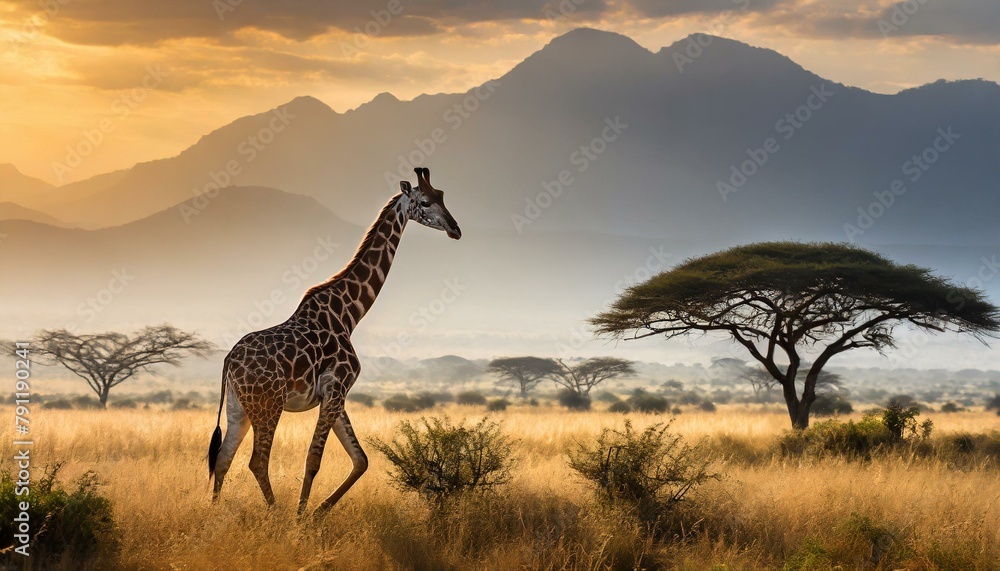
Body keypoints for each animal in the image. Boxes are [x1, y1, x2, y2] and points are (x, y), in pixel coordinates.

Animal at [208, 167, 461, 515]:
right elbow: (314, 459)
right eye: (424, 202)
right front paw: (301, 517)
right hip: (267, 405)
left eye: (443, 195)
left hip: (238, 407)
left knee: (222, 459)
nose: (455, 229)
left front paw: (317, 513)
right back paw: (276, 515)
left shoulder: (336, 395)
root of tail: (228, 361)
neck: (348, 313)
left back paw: (213, 513)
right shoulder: (336, 388)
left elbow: (361, 460)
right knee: (256, 462)